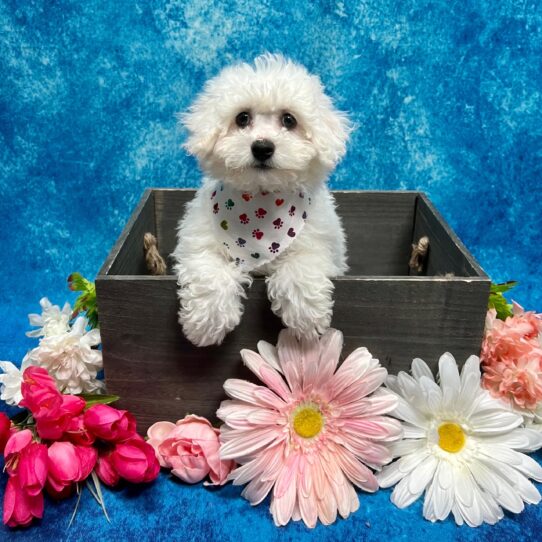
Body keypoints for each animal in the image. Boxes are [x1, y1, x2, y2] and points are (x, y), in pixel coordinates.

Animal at [173, 55, 352, 348]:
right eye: (242, 118)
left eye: (289, 120)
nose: (262, 147)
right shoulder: (198, 242)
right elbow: (209, 270)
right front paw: (206, 323)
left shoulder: (319, 244)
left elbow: (302, 265)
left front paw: (306, 320)